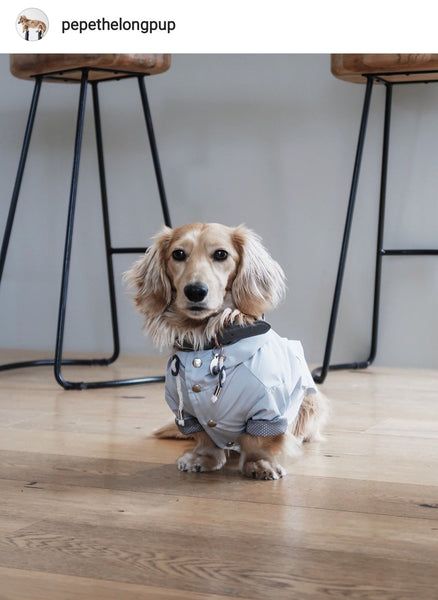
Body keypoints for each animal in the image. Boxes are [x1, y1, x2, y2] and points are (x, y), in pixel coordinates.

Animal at [125, 223, 326, 480]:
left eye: (221, 254)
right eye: (178, 254)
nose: (195, 291)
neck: (206, 346)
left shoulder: (268, 406)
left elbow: (256, 440)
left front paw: (259, 463)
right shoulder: (185, 410)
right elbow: (204, 436)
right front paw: (203, 457)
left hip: (312, 402)